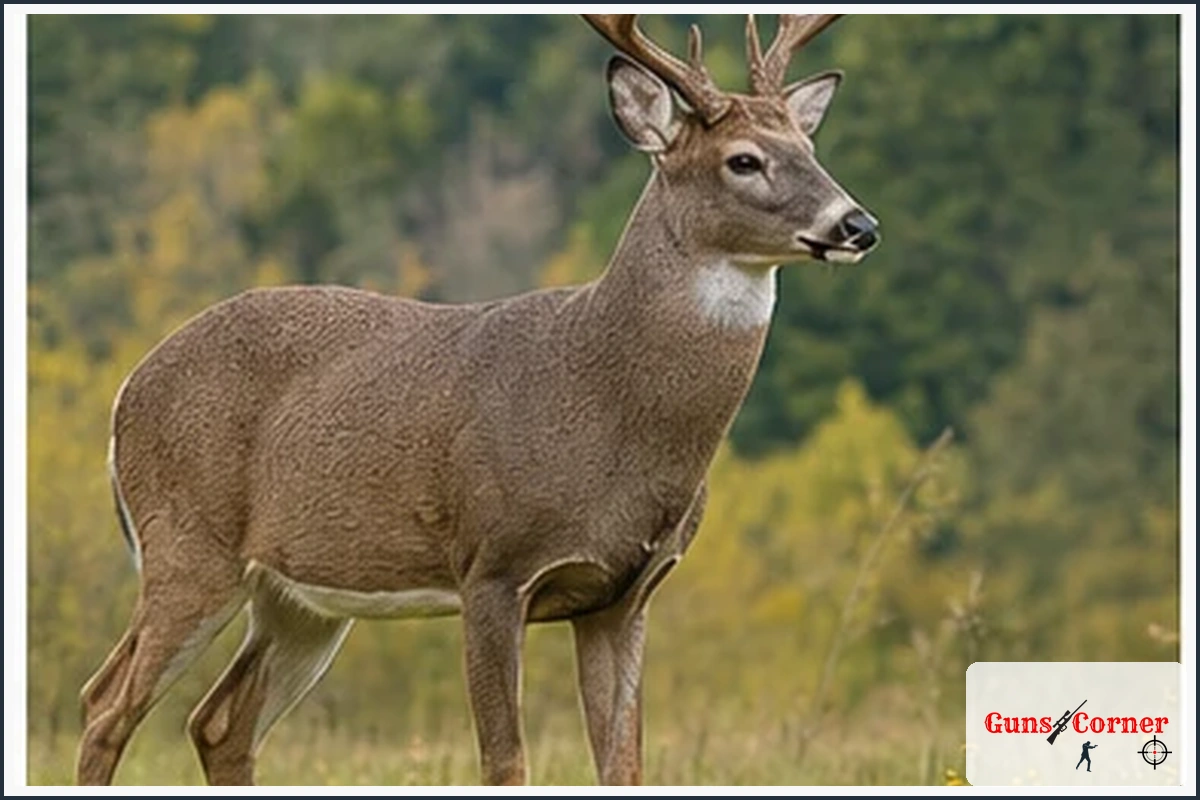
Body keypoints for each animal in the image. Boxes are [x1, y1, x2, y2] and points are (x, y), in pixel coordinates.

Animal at [76, 13, 878, 786]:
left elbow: (625, 764)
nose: (858, 225)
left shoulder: (625, 595)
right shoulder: (492, 564)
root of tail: (125, 391)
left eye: (809, 143)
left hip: (300, 597)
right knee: (105, 703)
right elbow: (505, 761)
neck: (606, 404)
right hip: (187, 543)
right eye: (743, 159)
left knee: (218, 723)